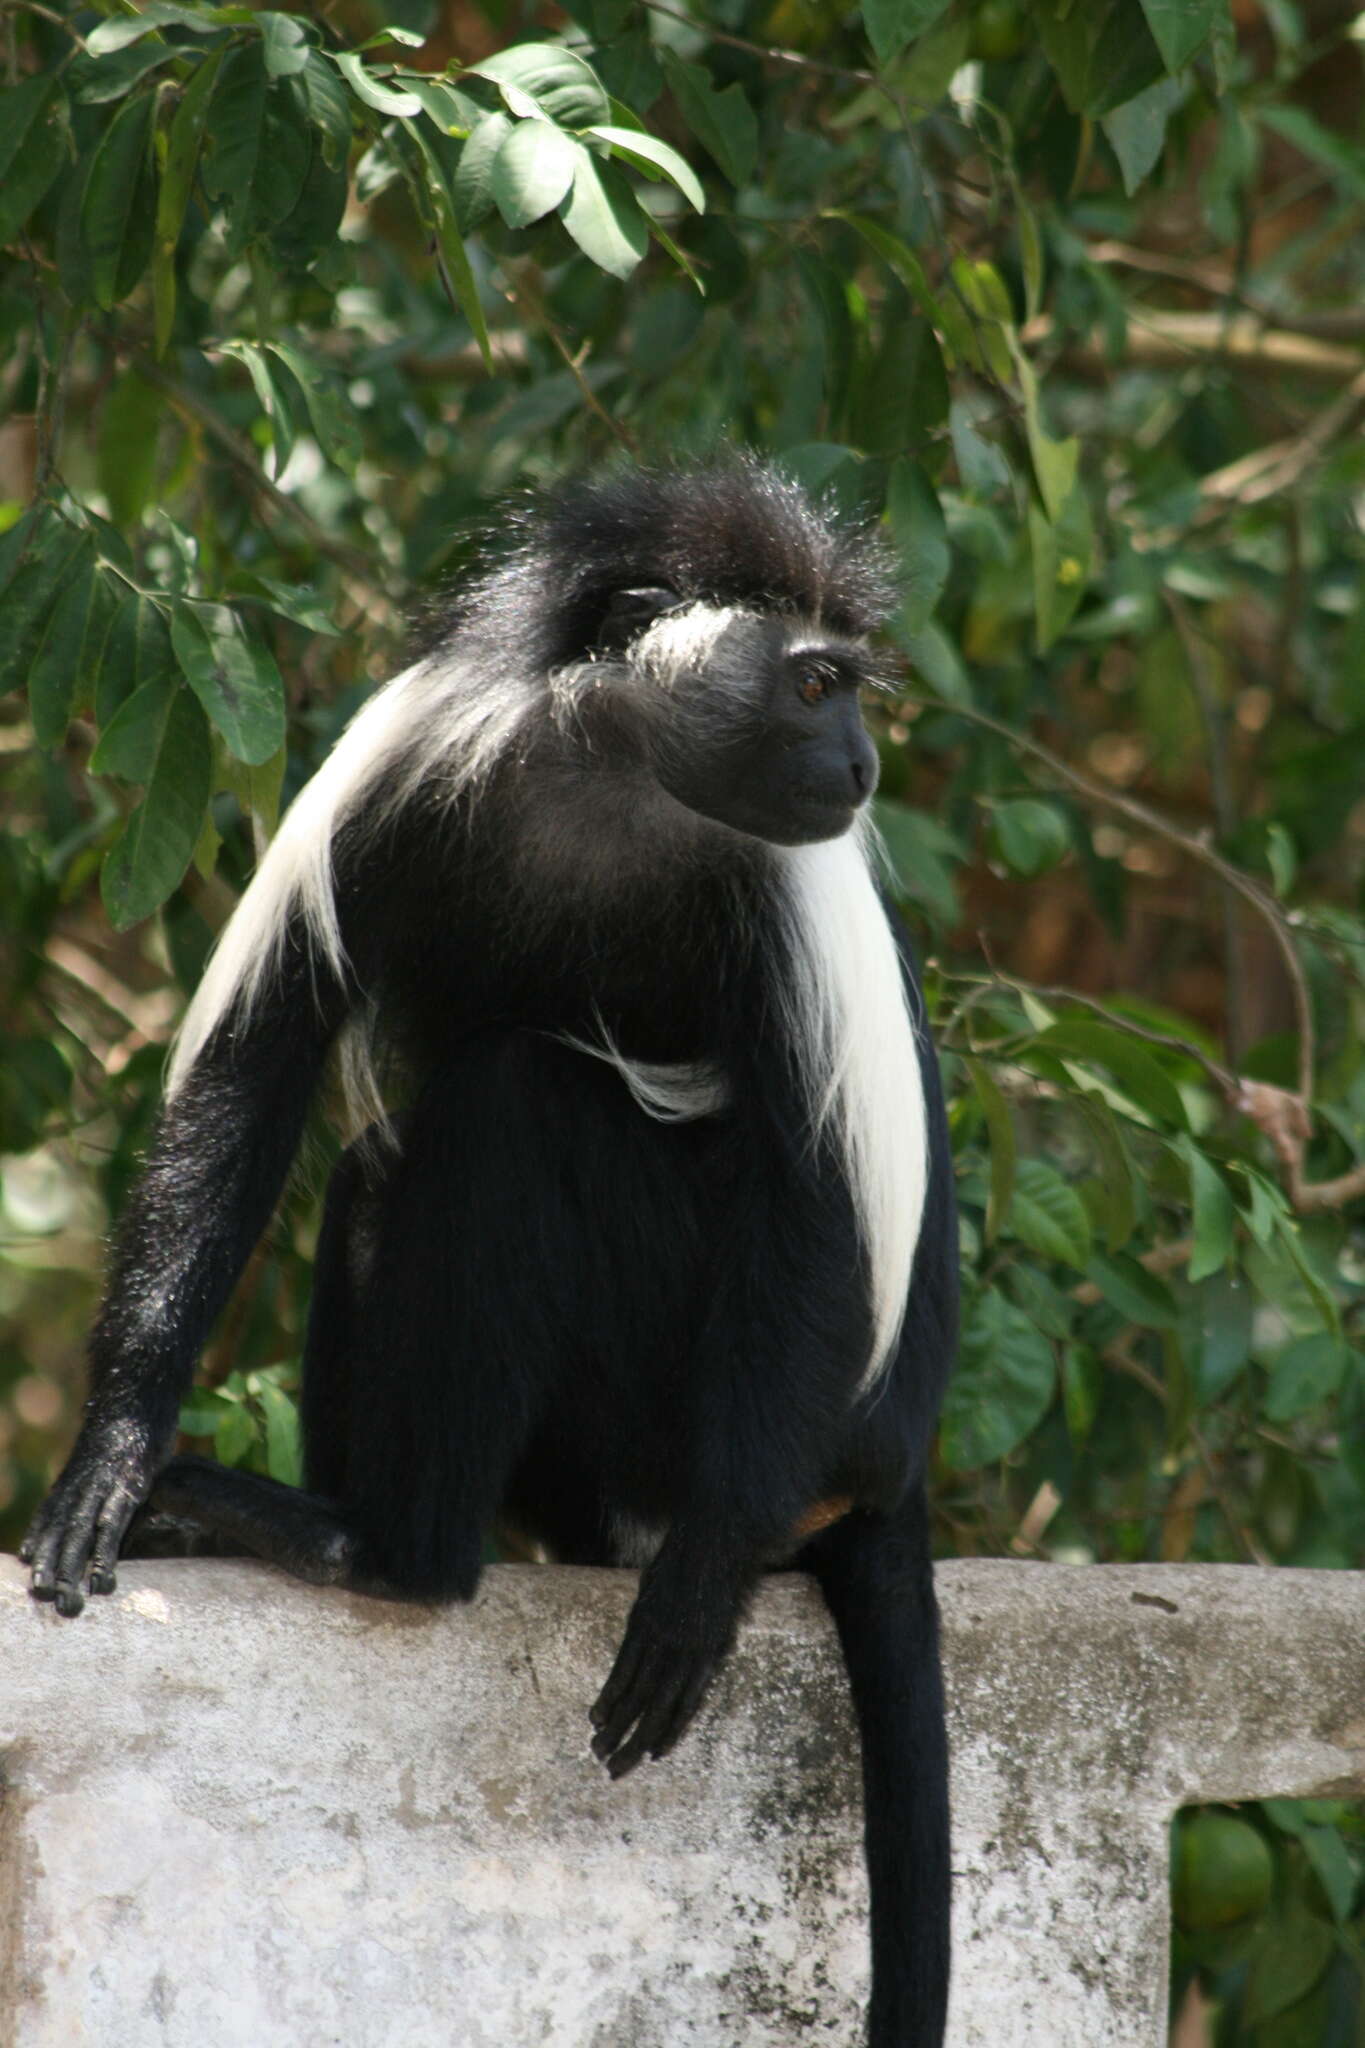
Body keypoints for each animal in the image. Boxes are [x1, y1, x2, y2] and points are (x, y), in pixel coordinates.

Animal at [24, 464, 961, 2048]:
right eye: (814, 682)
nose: (863, 763)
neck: (612, 776)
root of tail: (884, 1465)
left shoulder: (796, 899)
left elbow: (820, 1223)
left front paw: (700, 1583)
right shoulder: (398, 769)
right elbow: (257, 1063)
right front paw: (115, 1453)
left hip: (692, 1396)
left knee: (517, 1112)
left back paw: (395, 1557)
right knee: (377, 1173)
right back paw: (299, 1519)